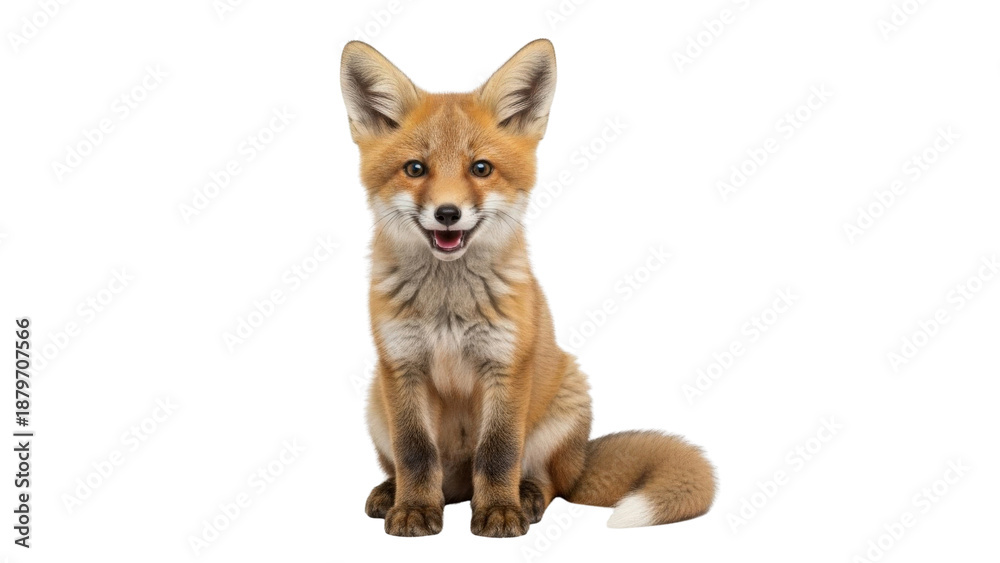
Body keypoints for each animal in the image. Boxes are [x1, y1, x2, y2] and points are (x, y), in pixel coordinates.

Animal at [340, 38, 716, 537]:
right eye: (415, 169)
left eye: (481, 168)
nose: (447, 213)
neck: (448, 308)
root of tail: (580, 459)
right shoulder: (402, 366)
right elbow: (415, 454)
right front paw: (415, 509)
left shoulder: (506, 364)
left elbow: (498, 454)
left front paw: (500, 511)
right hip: (375, 405)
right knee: (428, 476)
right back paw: (392, 493)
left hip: (566, 401)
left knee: (549, 481)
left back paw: (527, 497)